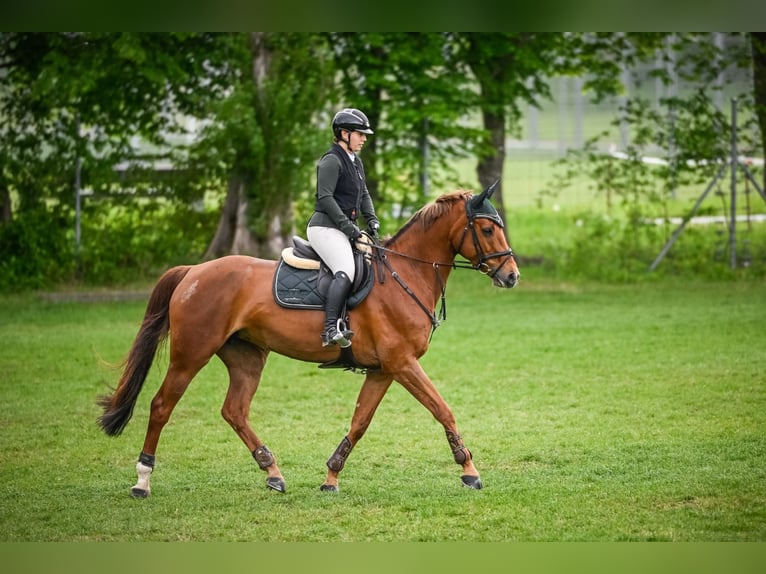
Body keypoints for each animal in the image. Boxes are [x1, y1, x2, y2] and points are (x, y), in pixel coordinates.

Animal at [94, 183, 516, 496]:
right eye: (488, 229)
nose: (512, 276)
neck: (403, 275)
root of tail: (193, 272)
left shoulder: (384, 369)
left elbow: (360, 422)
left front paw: (331, 477)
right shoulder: (402, 363)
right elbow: (442, 409)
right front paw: (469, 470)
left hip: (247, 356)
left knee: (234, 411)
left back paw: (272, 472)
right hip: (191, 354)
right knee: (162, 406)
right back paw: (142, 480)